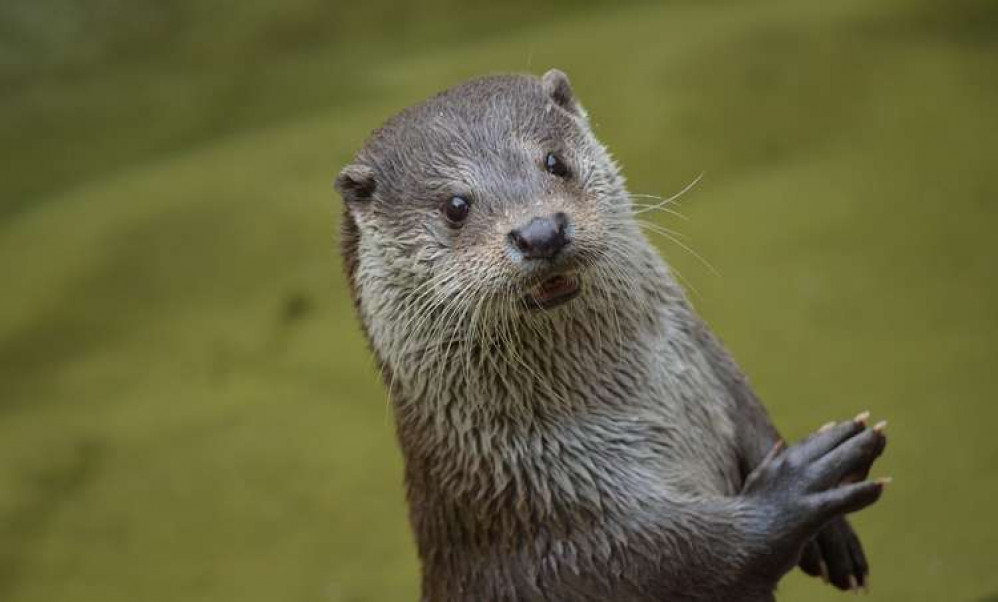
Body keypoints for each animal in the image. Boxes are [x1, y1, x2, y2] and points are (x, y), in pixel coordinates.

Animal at [336, 68, 892, 596]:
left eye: (554, 162)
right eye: (455, 205)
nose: (540, 231)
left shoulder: (714, 367)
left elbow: (750, 411)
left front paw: (832, 532)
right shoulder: (560, 533)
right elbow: (684, 558)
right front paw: (800, 487)